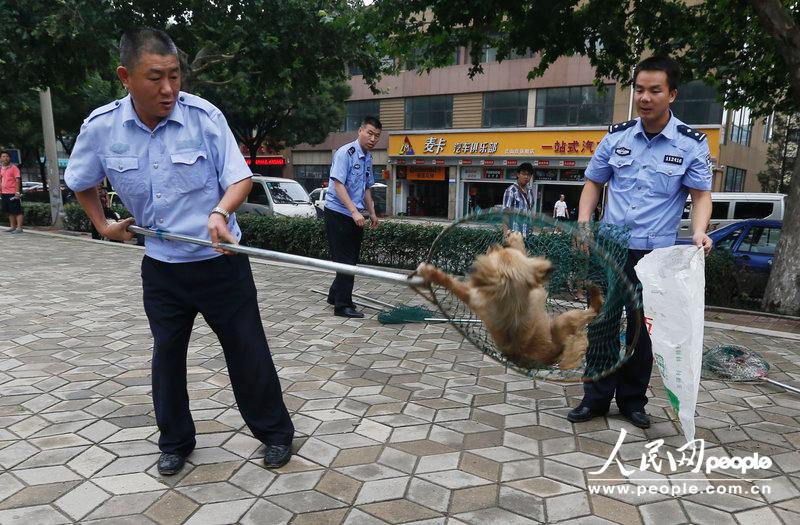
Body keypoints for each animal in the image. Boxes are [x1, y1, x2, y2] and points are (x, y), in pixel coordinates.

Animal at [418, 231, 600, 370]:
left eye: (495, 254)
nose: (494, 244)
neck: (510, 295)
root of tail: (557, 354)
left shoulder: (476, 297)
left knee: (590, 317)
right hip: (561, 322)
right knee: (590, 319)